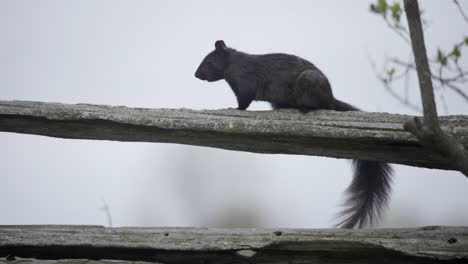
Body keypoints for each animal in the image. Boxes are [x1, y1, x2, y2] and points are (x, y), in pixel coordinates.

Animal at [196, 39, 394, 229]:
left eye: (208, 61)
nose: (196, 75)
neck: (233, 63)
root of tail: (331, 97)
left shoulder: (244, 80)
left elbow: (244, 100)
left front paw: (235, 109)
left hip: (310, 84)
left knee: (322, 105)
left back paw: (306, 107)